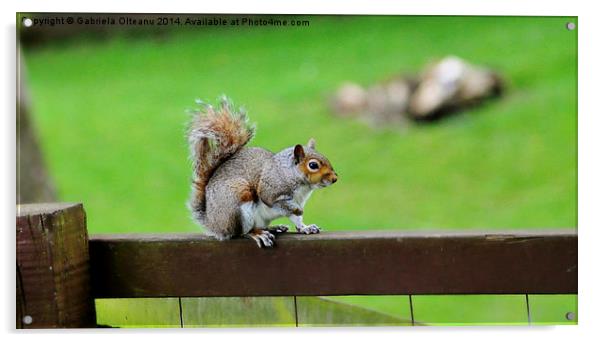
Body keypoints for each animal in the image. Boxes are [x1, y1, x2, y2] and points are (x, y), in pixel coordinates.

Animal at [186, 95, 338, 247]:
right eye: (313, 165)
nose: (335, 178)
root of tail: (214, 224)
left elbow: (296, 218)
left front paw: (305, 227)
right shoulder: (271, 188)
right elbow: (278, 202)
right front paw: (297, 210)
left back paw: (274, 227)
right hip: (237, 202)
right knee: (242, 233)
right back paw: (258, 234)